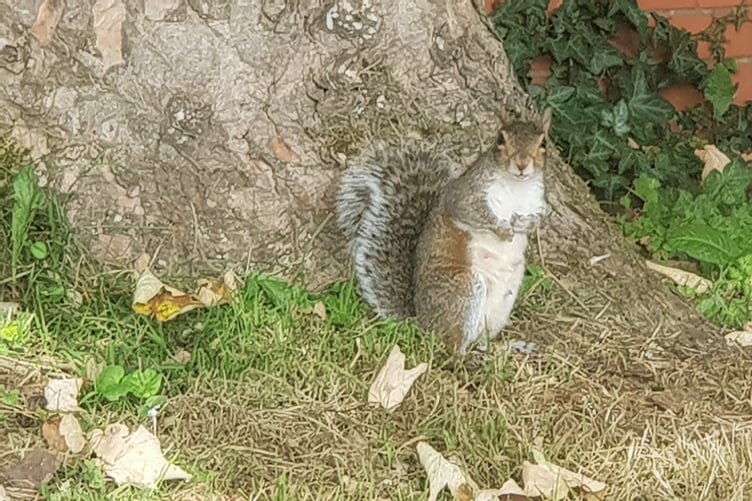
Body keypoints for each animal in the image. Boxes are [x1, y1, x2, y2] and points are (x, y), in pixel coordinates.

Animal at [335, 108, 552, 356]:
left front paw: (524, 224)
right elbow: (474, 213)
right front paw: (504, 228)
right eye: (500, 139)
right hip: (464, 290)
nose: (522, 164)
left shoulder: (537, 202)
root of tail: (422, 322)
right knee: (452, 343)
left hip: (501, 306)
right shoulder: (464, 195)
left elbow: (538, 219)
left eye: (543, 142)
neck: (518, 187)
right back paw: (465, 355)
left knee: (481, 342)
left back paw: (505, 348)